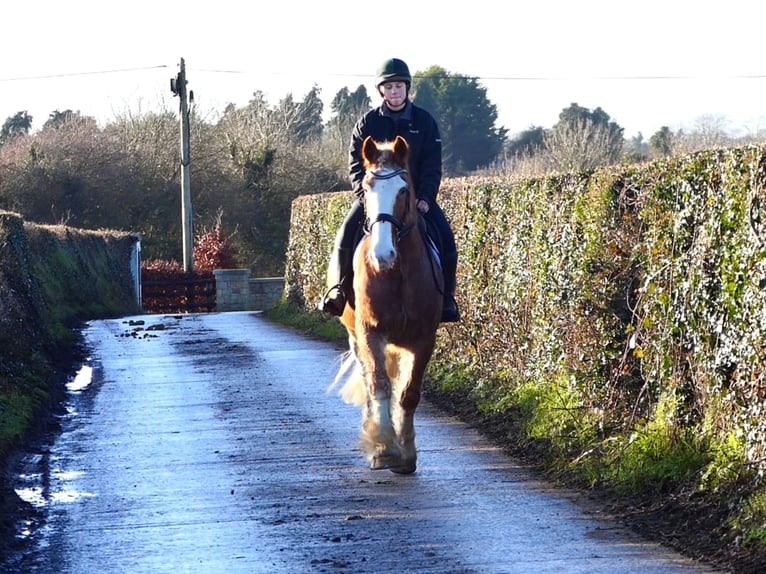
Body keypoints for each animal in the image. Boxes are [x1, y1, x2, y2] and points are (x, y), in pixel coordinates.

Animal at [333, 135, 443, 474]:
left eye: (403, 190)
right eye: (367, 188)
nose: (382, 255)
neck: (398, 272)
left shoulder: (423, 338)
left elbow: (409, 394)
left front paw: (406, 455)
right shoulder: (371, 333)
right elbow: (379, 386)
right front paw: (384, 448)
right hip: (355, 339)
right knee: (370, 382)